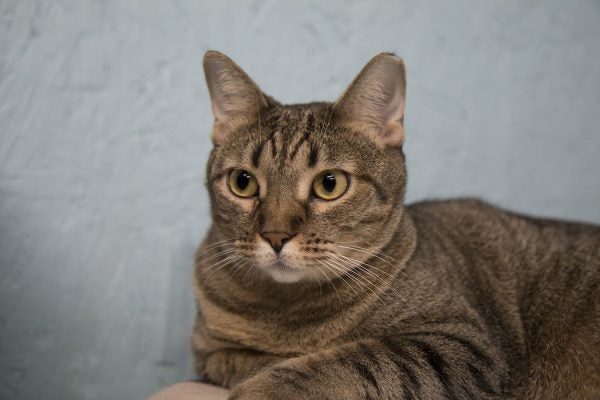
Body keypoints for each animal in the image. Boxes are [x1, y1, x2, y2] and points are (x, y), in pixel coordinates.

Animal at [193, 51, 600, 398]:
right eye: (243, 182)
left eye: (329, 184)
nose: (276, 235)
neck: (284, 312)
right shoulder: (205, 353)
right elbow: (231, 359)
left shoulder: (464, 345)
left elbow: (348, 360)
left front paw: (265, 384)